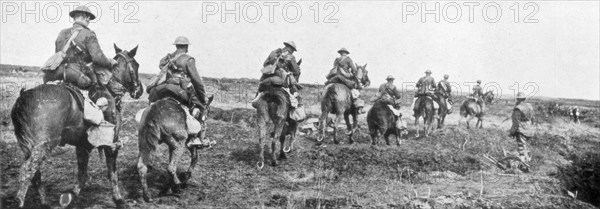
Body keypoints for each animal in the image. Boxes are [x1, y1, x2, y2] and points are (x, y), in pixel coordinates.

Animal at [10, 43, 143, 207]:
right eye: (136, 65)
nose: (139, 90)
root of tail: (24, 96)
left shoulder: (82, 145)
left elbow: (82, 172)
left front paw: (71, 196)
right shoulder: (111, 145)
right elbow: (112, 172)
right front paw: (118, 199)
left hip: (28, 146)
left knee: (35, 173)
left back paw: (44, 202)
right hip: (43, 145)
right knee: (28, 170)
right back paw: (20, 201)